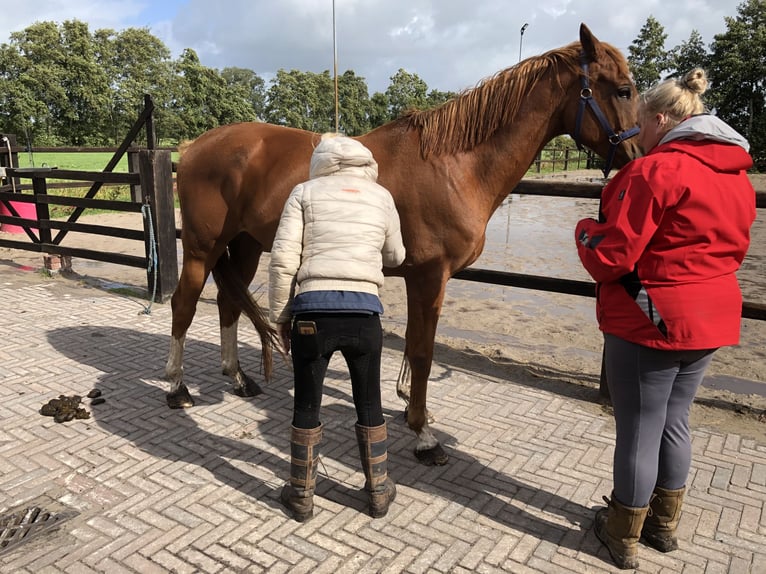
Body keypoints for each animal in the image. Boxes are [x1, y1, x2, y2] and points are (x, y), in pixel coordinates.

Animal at [165, 23, 641, 465]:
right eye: (623, 89)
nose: (636, 155)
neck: (454, 165)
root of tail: (194, 146)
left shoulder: (426, 278)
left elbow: (414, 346)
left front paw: (411, 408)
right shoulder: (429, 276)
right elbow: (423, 352)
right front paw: (424, 434)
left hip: (244, 245)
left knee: (228, 302)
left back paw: (238, 378)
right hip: (202, 248)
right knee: (184, 304)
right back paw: (177, 387)